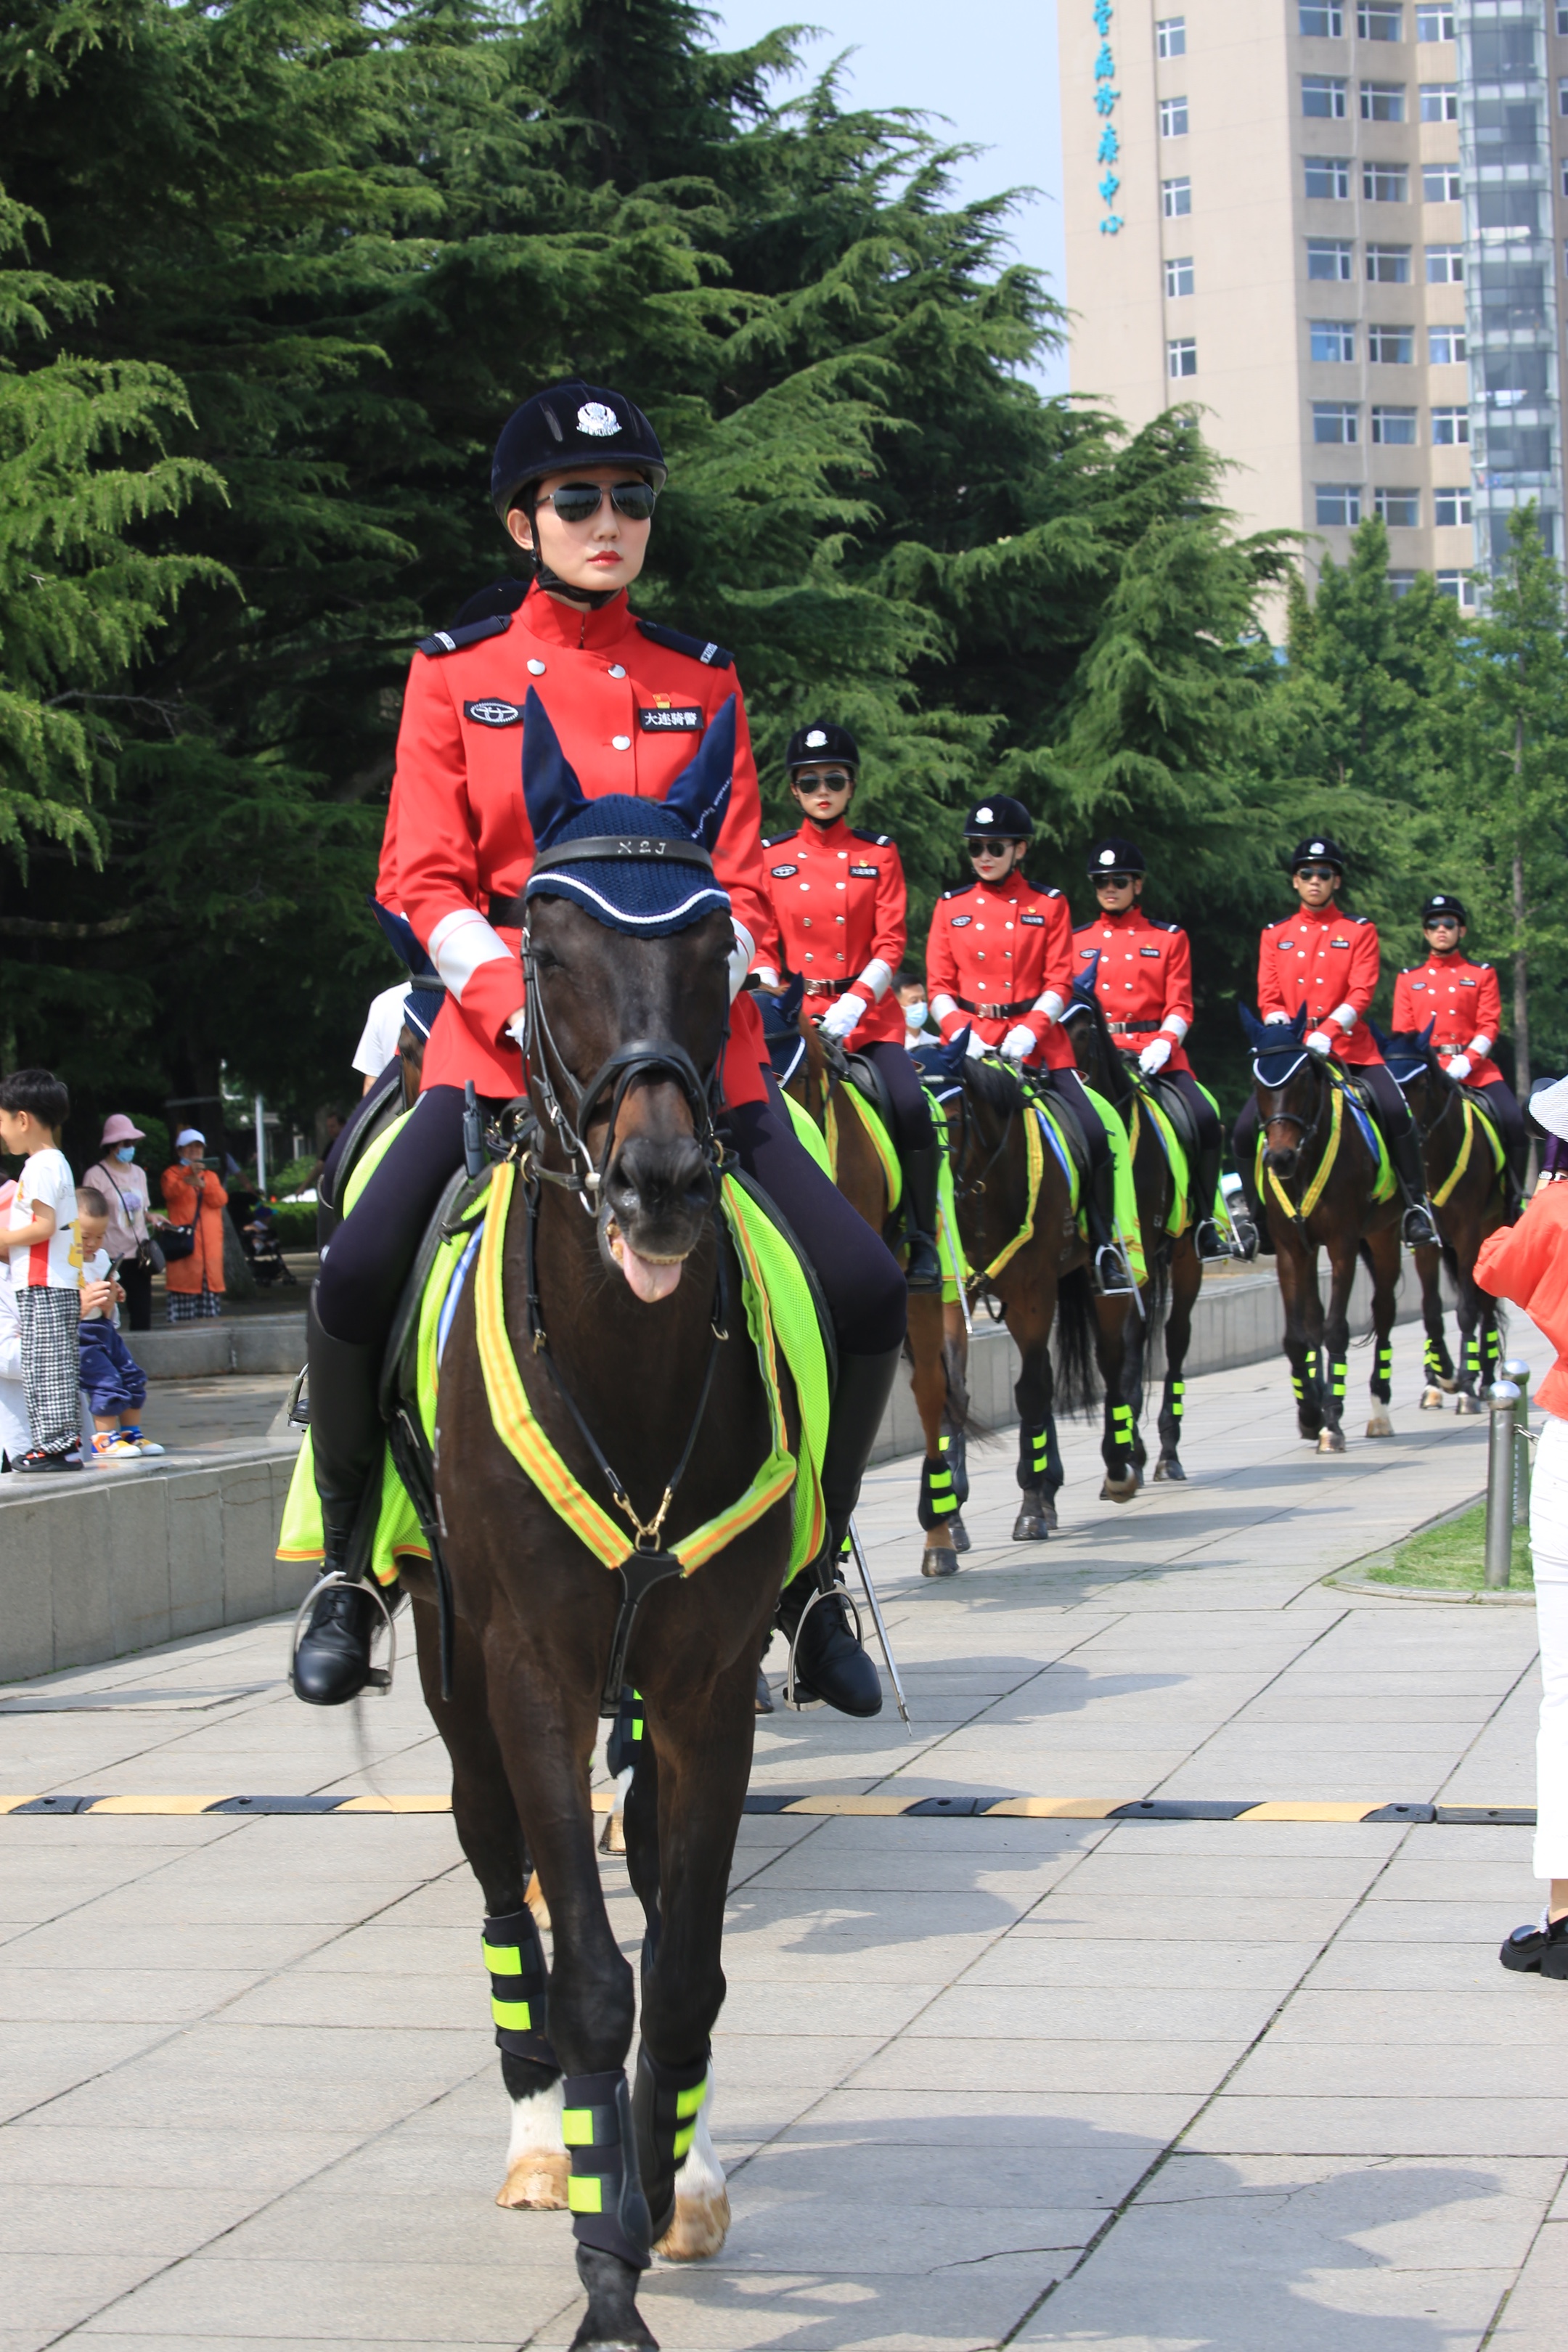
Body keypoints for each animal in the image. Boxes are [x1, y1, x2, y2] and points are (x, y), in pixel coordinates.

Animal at [1241, 1006, 1401, 1448]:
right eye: (1257, 1081)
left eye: (1299, 1079)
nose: (1279, 1158)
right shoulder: (1292, 1248)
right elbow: (1300, 1335)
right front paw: (1310, 1410)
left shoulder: (1342, 1244)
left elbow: (1335, 1330)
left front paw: (1331, 1417)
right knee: (1314, 1317)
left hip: (1385, 1235)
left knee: (1384, 1310)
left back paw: (1380, 1410)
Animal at [1392, 1025, 1514, 1411]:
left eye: (1420, 1084)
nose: (1403, 1129)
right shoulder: (1426, 1239)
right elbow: (1431, 1311)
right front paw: (1440, 1377)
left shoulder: (1469, 1234)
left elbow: (1467, 1309)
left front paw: (1465, 1384)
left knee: (1485, 1305)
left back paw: (1485, 1380)